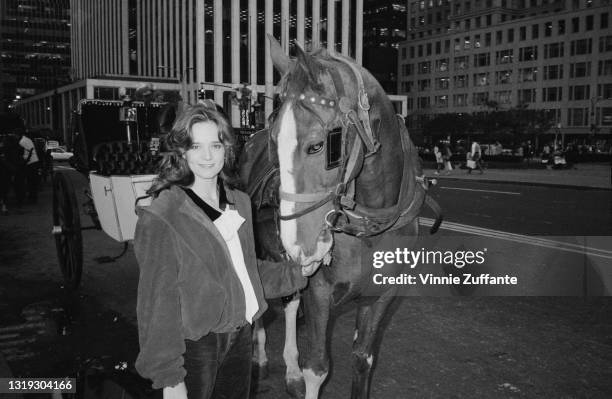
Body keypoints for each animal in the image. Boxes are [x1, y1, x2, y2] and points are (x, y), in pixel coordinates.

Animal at [238, 36, 440, 398]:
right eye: (275, 142)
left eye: (319, 145)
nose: (300, 246)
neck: (369, 228)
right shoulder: (318, 291)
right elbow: (317, 368)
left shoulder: (381, 295)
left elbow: (363, 359)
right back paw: (261, 354)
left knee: (290, 304)